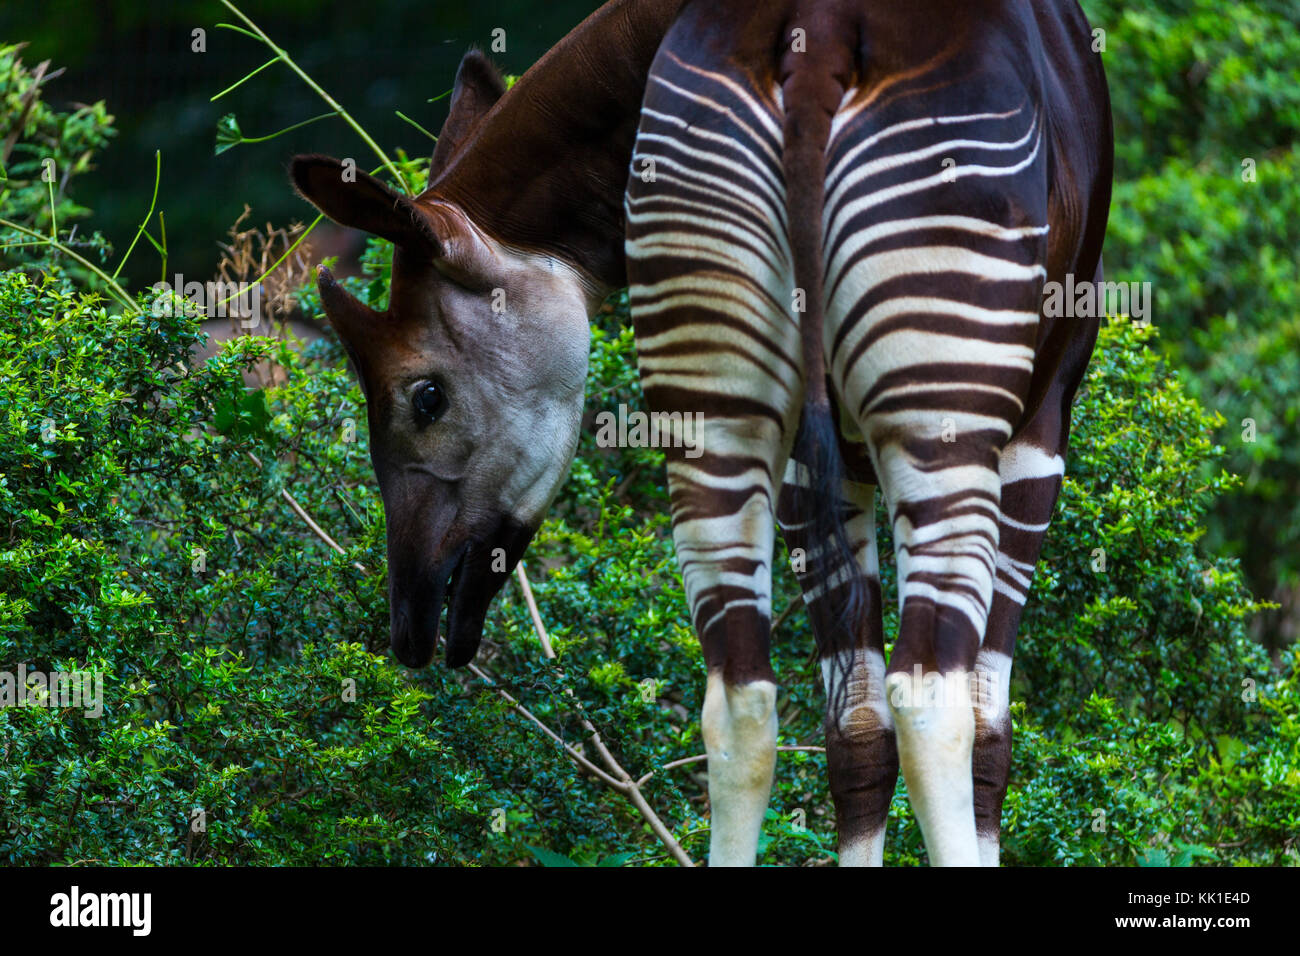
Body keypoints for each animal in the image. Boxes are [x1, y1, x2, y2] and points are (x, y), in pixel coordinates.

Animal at [289, 0, 1112, 866]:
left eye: (425, 397)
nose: (408, 621)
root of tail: (819, 36)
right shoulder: (1040, 412)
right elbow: (981, 735)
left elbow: (853, 735)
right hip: (939, 404)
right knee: (929, 703)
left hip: (719, 405)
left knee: (742, 704)